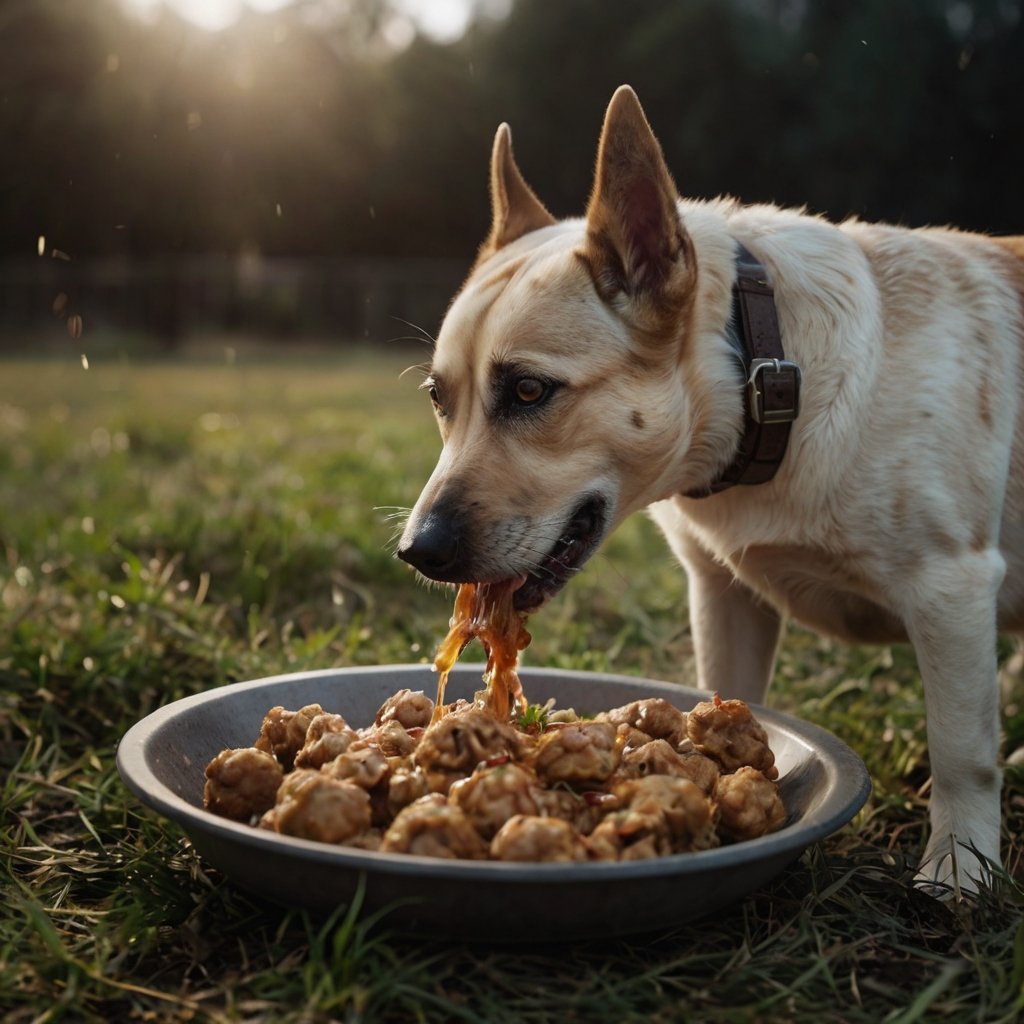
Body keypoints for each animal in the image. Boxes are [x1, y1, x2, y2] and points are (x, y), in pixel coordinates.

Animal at [395, 83, 1019, 892]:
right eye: (438, 397)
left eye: (530, 391)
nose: (417, 552)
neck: (769, 377)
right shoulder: (727, 598)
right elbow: (731, 696)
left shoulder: (952, 590)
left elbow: (961, 755)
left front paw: (959, 876)